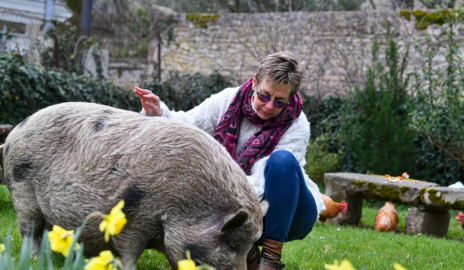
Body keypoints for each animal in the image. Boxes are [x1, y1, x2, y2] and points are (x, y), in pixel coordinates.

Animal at [1, 102, 266, 270]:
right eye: (232, 244)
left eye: (249, 247)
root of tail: (13, 134)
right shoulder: (133, 218)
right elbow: (130, 253)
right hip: (23, 193)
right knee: (29, 231)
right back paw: (34, 260)